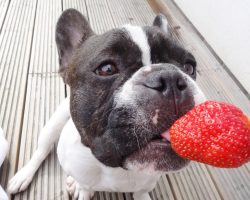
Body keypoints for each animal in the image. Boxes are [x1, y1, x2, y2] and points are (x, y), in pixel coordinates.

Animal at [7, 9, 205, 200]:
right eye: (107, 69)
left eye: (189, 67)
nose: (170, 78)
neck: (117, 170)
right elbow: (84, 185)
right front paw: (82, 190)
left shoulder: (148, 182)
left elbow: (141, 193)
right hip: (52, 125)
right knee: (41, 151)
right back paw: (23, 176)